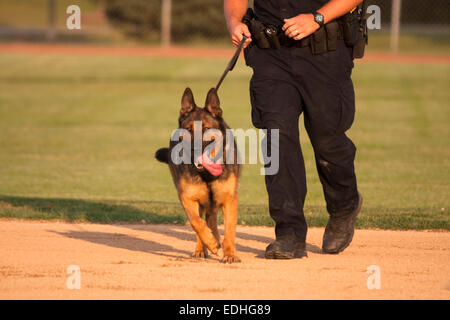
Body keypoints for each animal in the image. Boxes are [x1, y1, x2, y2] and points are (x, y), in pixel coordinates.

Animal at [156, 87, 241, 262]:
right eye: (189, 129)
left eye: (206, 129)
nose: (194, 149)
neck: (206, 173)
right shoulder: (187, 197)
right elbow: (196, 222)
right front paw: (210, 242)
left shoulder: (229, 199)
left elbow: (229, 230)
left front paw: (229, 254)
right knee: (204, 221)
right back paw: (203, 248)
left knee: (211, 219)